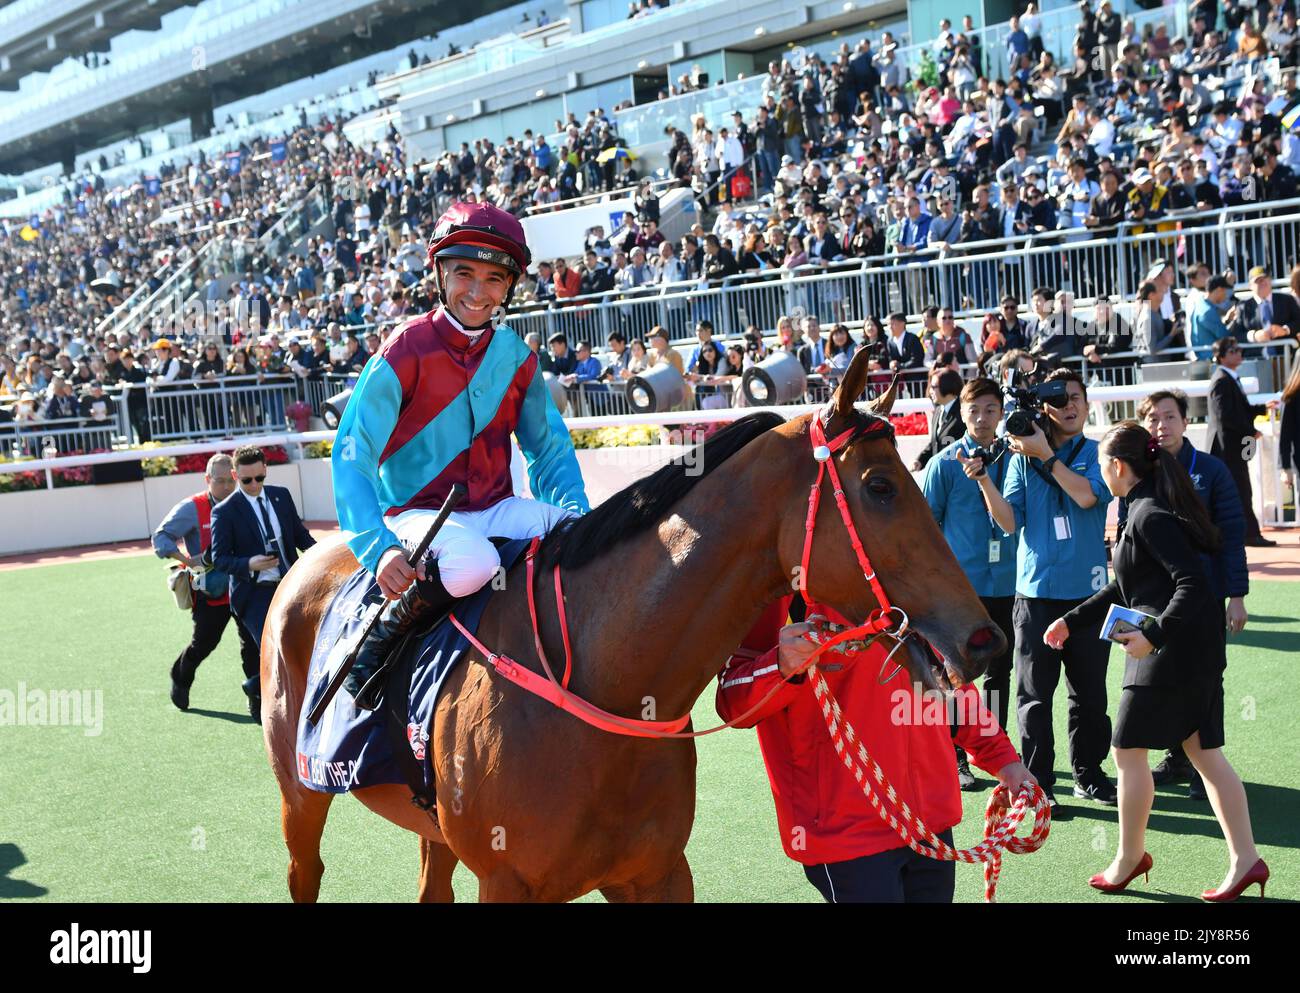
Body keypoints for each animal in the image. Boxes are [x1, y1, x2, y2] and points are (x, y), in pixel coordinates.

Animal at [261, 353, 1003, 904]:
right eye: (880, 486)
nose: (983, 638)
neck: (599, 685)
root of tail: (308, 560)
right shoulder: (505, 881)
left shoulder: (657, 873)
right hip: (298, 794)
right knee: (304, 871)